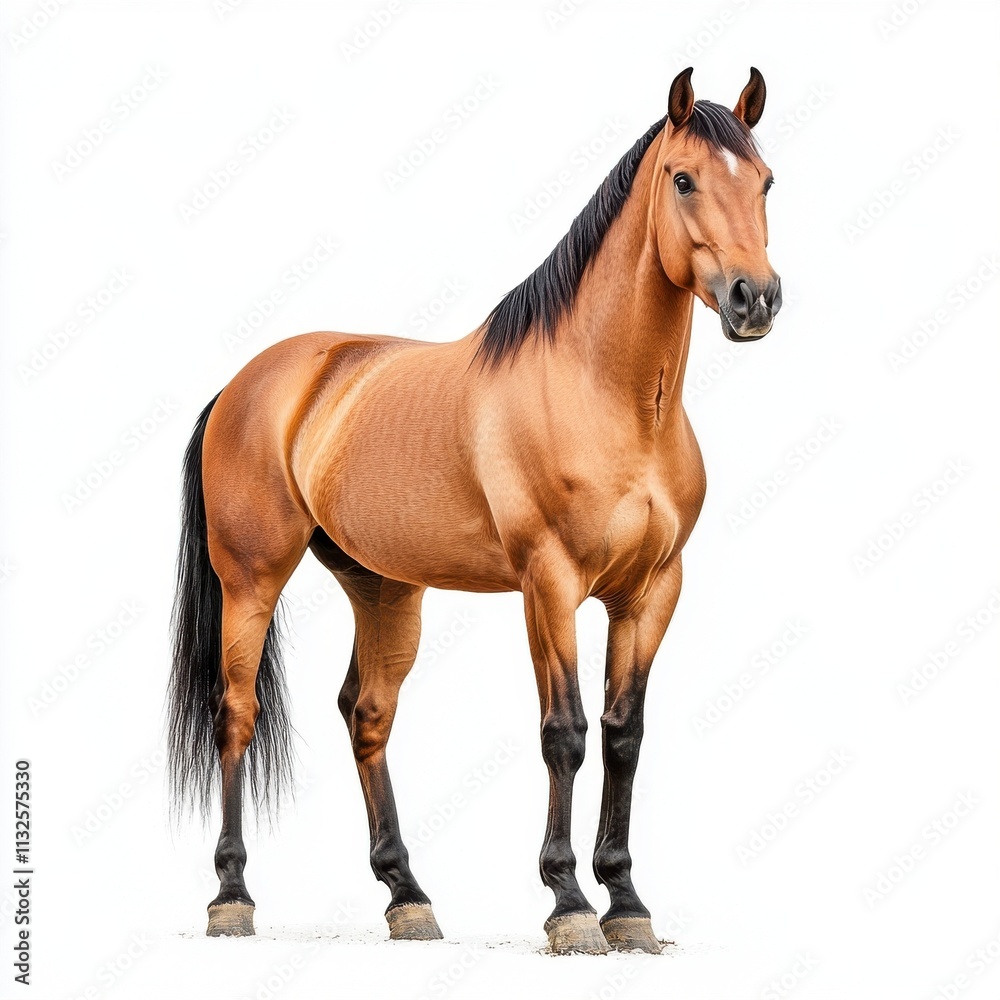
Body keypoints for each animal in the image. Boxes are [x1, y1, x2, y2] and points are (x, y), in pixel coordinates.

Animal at [166, 66, 782, 955]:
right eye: (683, 178)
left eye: (765, 181)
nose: (753, 300)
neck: (606, 396)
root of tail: (247, 382)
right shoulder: (549, 584)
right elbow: (565, 732)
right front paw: (569, 905)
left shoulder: (652, 591)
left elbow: (624, 735)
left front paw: (628, 904)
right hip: (250, 579)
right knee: (236, 715)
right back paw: (232, 897)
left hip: (385, 588)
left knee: (368, 713)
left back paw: (407, 897)